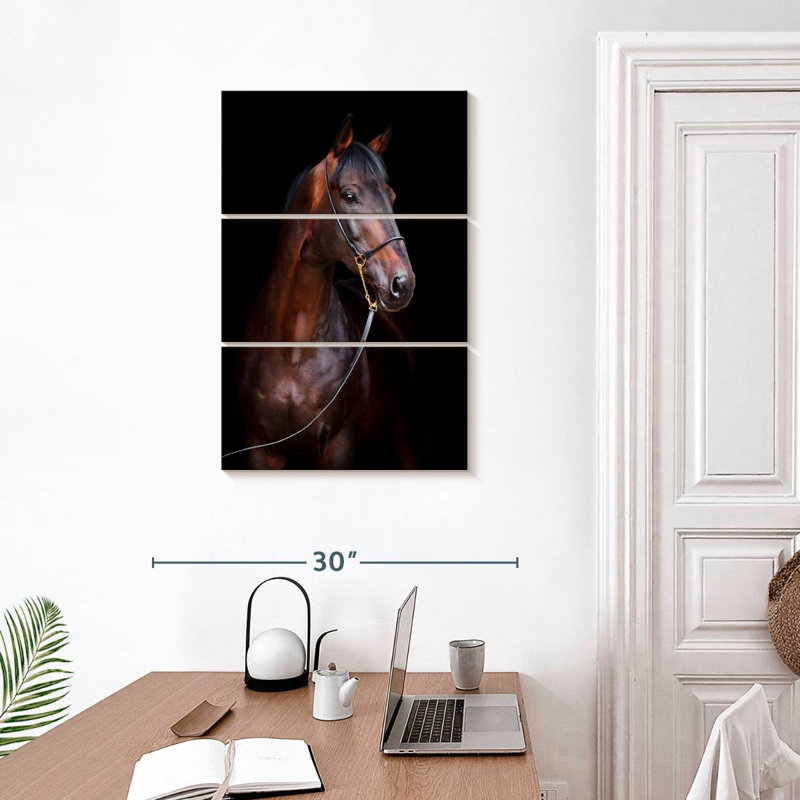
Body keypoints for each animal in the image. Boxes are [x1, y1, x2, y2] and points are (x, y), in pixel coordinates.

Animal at [236, 115, 416, 469]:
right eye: (349, 195)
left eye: (391, 195)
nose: (403, 283)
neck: (293, 351)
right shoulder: (260, 449)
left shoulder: (338, 447)